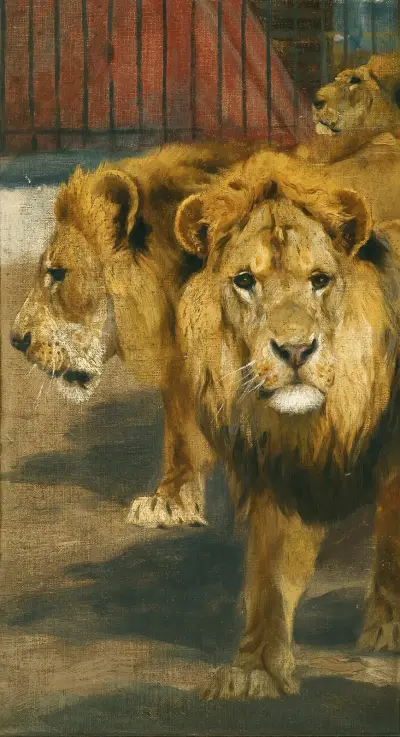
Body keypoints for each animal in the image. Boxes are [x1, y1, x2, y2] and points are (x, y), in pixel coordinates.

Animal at [174, 149, 400, 699]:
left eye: (319, 279)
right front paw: (257, 668)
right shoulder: (274, 467)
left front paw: (387, 629)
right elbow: (269, 576)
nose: (296, 350)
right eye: (244, 281)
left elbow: (393, 540)